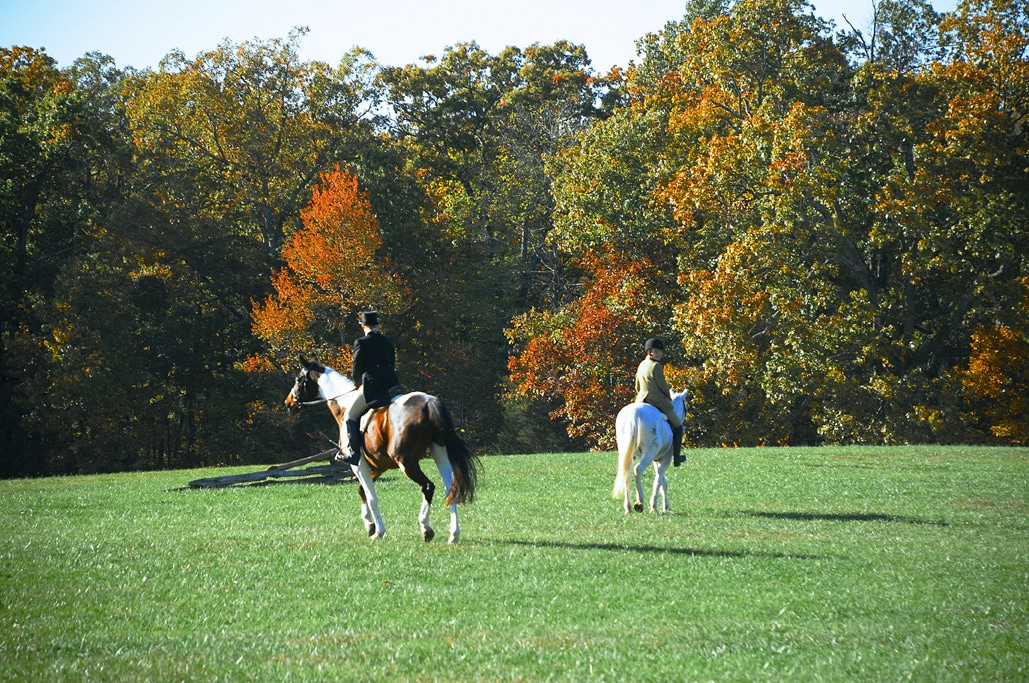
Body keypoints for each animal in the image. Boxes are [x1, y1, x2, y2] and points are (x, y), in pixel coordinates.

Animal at [286, 357, 477, 543]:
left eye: (298, 379)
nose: (289, 402)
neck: (344, 405)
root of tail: (429, 402)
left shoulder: (358, 465)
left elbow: (371, 498)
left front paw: (378, 531)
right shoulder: (377, 467)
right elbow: (363, 491)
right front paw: (370, 524)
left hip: (407, 463)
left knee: (428, 486)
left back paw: (426, 528)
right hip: (440, 453)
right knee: (450, 489)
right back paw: (453, 534)